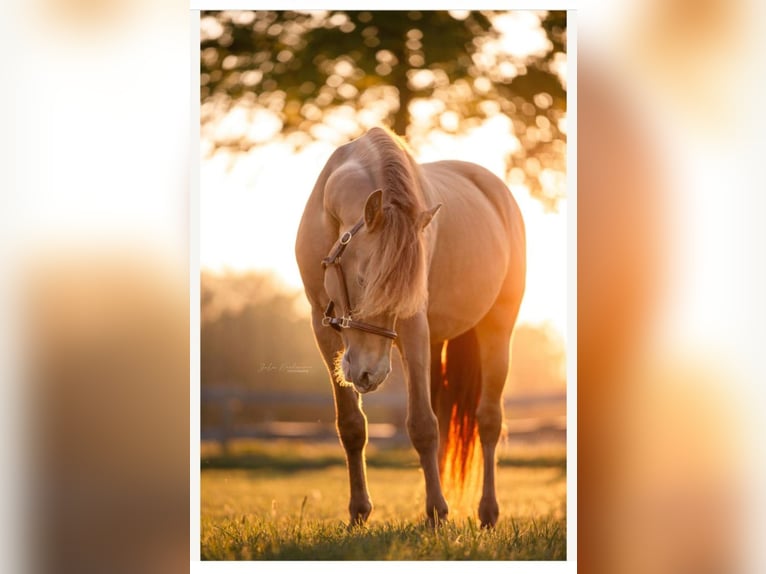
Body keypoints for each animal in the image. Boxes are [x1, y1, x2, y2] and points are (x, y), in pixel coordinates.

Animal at [295, 127, 525, 527]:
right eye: (362, 280)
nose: (370, 373)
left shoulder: (413, 325)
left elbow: (422, 424)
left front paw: (436, 513)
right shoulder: (322, 326)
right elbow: (352, 425)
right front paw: (359, 512)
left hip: (496, 329)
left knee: (488, 421)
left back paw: (487, 512)